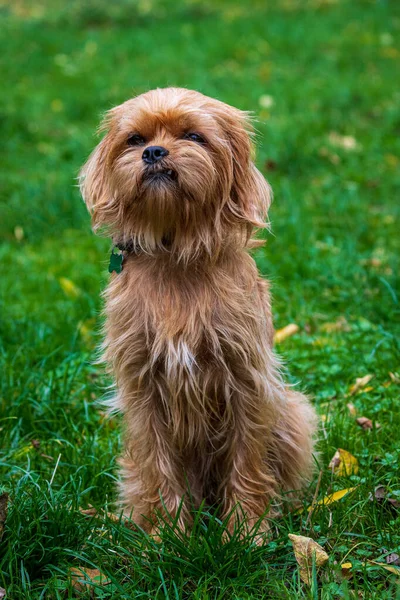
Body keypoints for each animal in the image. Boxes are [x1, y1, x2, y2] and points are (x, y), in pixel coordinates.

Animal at [79, 88, 318, 536]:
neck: (175, 251)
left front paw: (246, 532)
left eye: (193, 136)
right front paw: (167, 536)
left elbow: (247, 459)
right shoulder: (143, 389)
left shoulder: (246, 379)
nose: (154, 151)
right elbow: (159, 465)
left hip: (292, 413)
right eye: (135, 140)